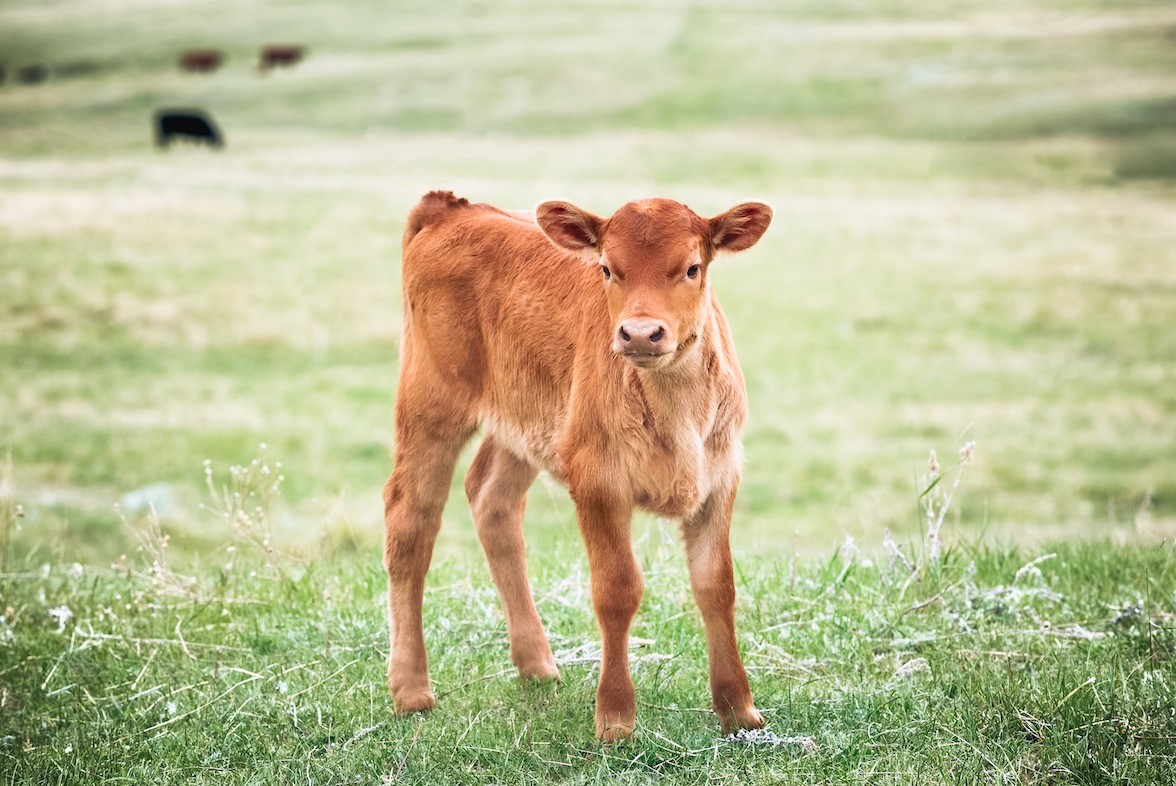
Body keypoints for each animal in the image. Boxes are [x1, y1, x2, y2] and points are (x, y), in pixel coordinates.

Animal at [385, 190, 771, 743]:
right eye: (608, 269)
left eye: (692, 267)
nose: (640, 334)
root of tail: (452, 208)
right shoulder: (596, 480)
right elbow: (617, 590)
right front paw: (615, 719)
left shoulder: (719, 479)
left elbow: (716, 586)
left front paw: (738, 711)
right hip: (428, 406)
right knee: (410, 521)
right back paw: (411, 690)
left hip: (528, 425)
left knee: (490, 498)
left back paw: (537, 665)